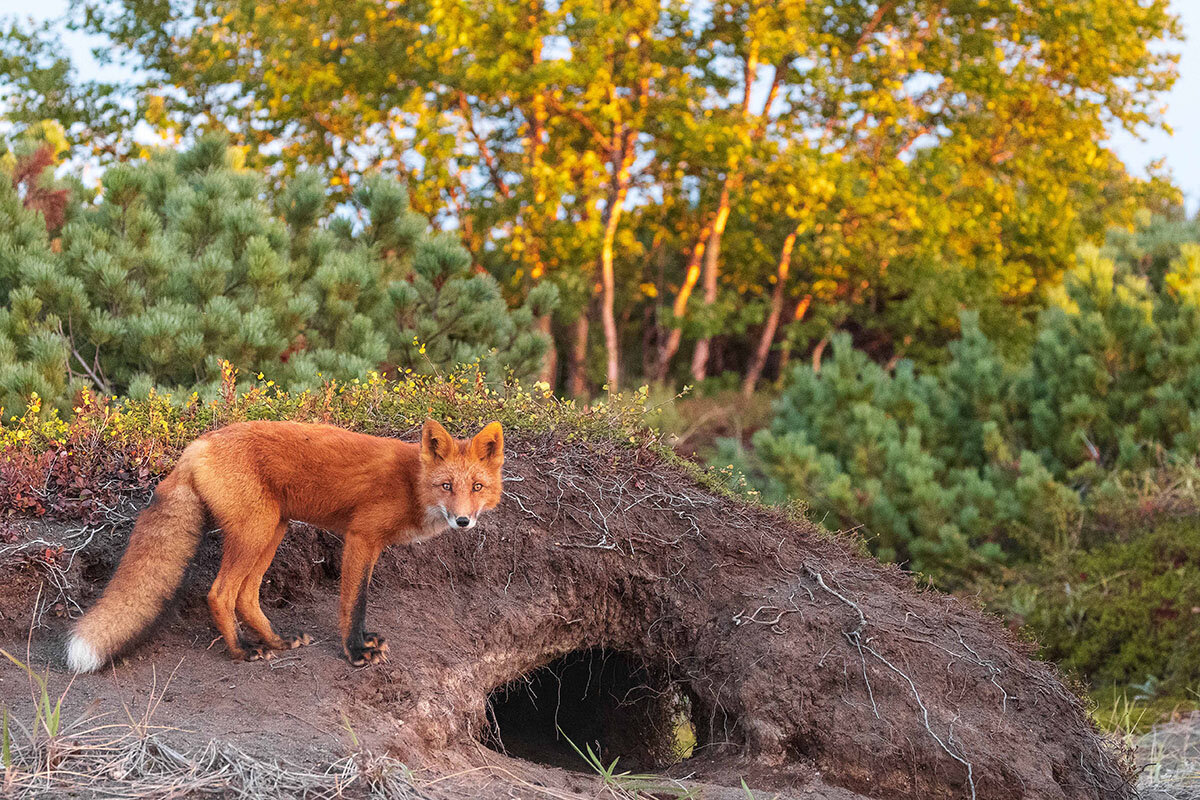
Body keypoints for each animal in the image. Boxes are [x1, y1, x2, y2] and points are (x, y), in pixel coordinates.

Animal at [66, 422, 501, 671]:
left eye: (477, 487)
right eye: (447, 486)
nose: (463, 521)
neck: (412, 484)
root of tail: (196, 446)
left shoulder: (371, 544)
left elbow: (358, 602)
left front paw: (362, 643)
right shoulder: (361, 538)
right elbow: (353, 603)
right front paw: (355, 652)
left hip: (274, 529)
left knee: (246, 596)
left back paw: (275, 641)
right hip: (255, 532)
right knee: (220, 594)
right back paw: (243, 651)